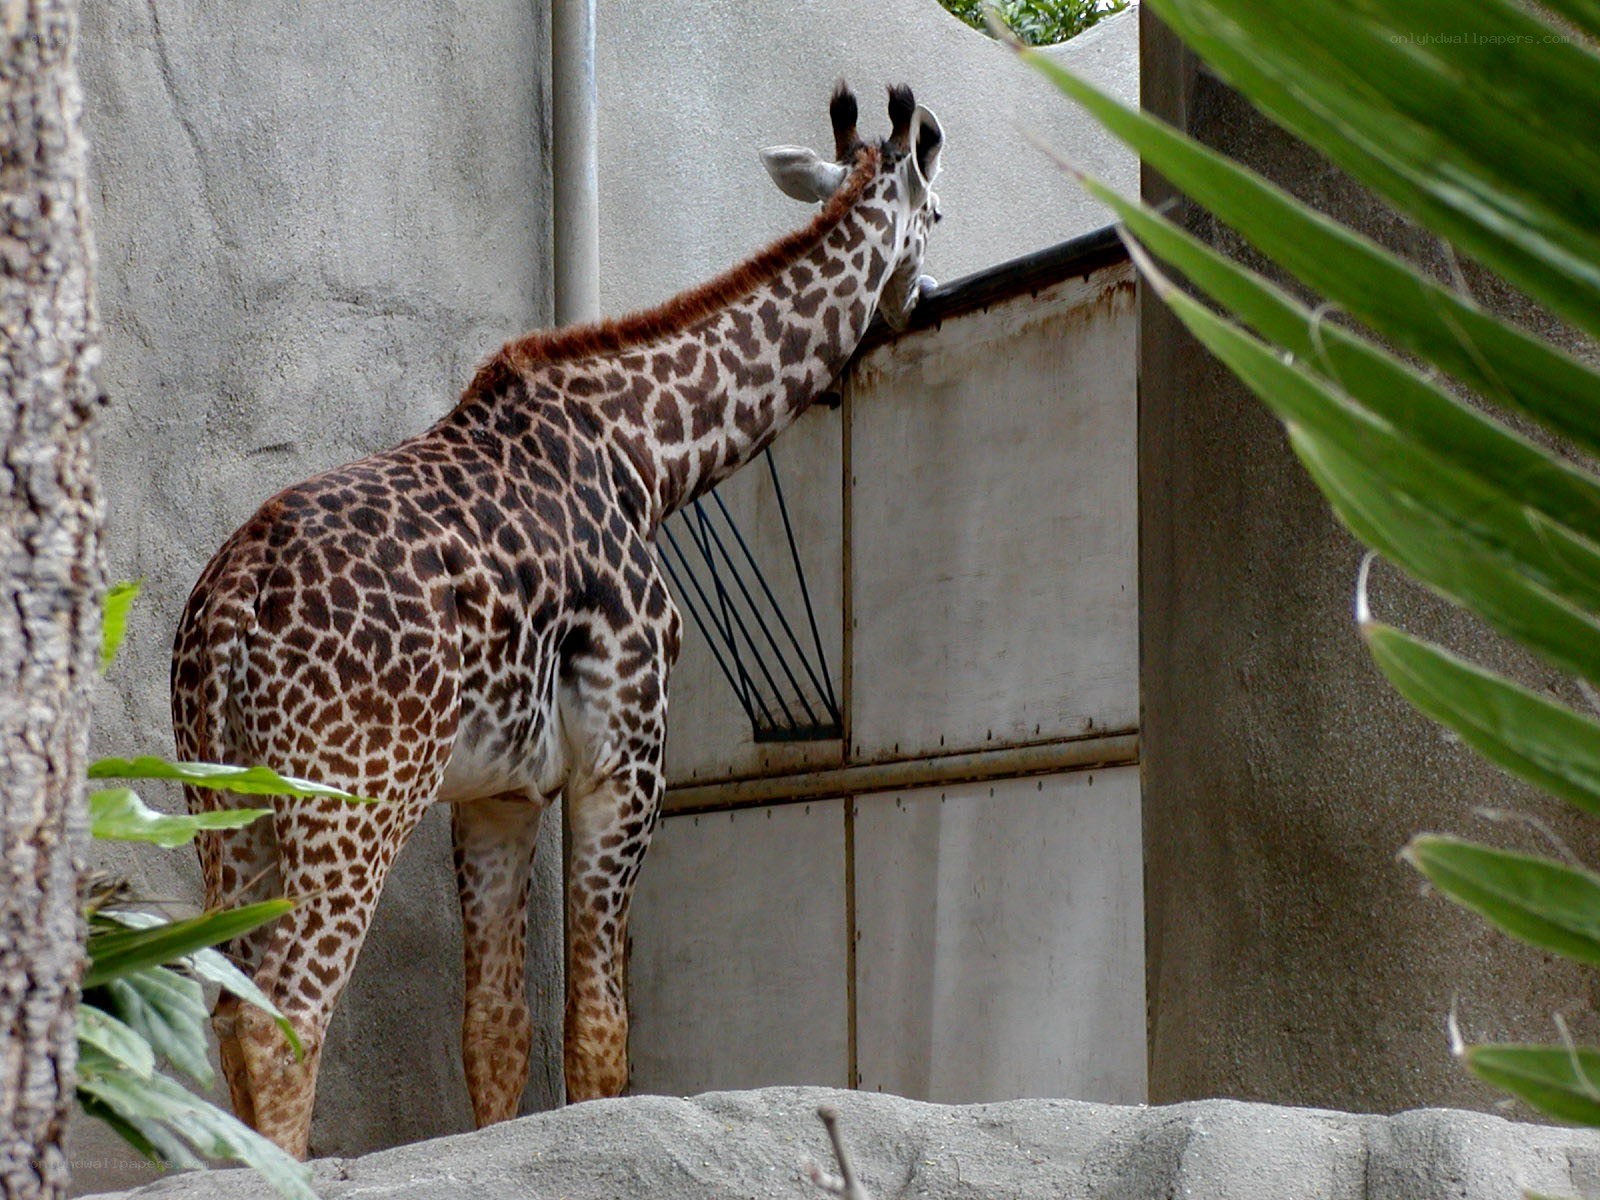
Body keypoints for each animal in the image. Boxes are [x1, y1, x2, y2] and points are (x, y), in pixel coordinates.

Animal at [170, 81, 944, 1157]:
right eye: (940, 213)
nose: (924, 298)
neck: (649, 454)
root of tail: (232, 600)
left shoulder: (498, 794)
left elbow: (495, 1036)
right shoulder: (625, 755)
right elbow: (599, 1037)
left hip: (222, 799)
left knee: (224, 1009)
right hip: (351, 795)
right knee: (280, 1015)